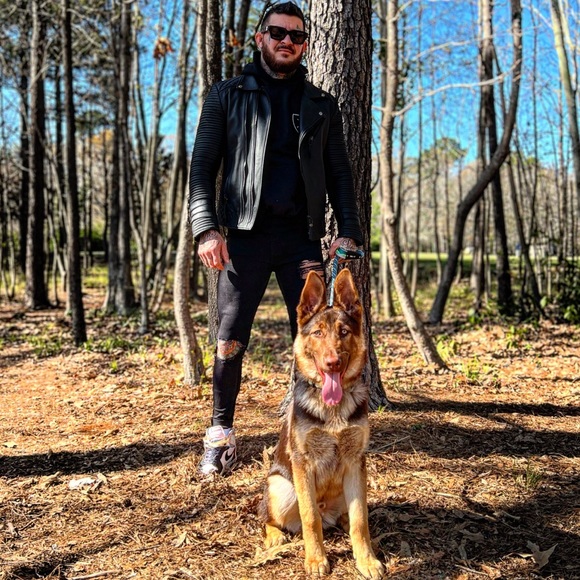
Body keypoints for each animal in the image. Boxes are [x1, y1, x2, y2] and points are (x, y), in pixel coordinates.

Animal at [259, 269, 384, 579]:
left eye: (344, 332)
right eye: (317, 333)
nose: (333, 363)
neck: (333, 409)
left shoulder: (355, 461)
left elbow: (360, 520)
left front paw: (366, 560)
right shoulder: (303, 464)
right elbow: (310, 518)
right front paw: (316, 559)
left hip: (349, 486)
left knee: (349, 516)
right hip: (282, 486)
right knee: (269, 516)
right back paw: (275, 535)